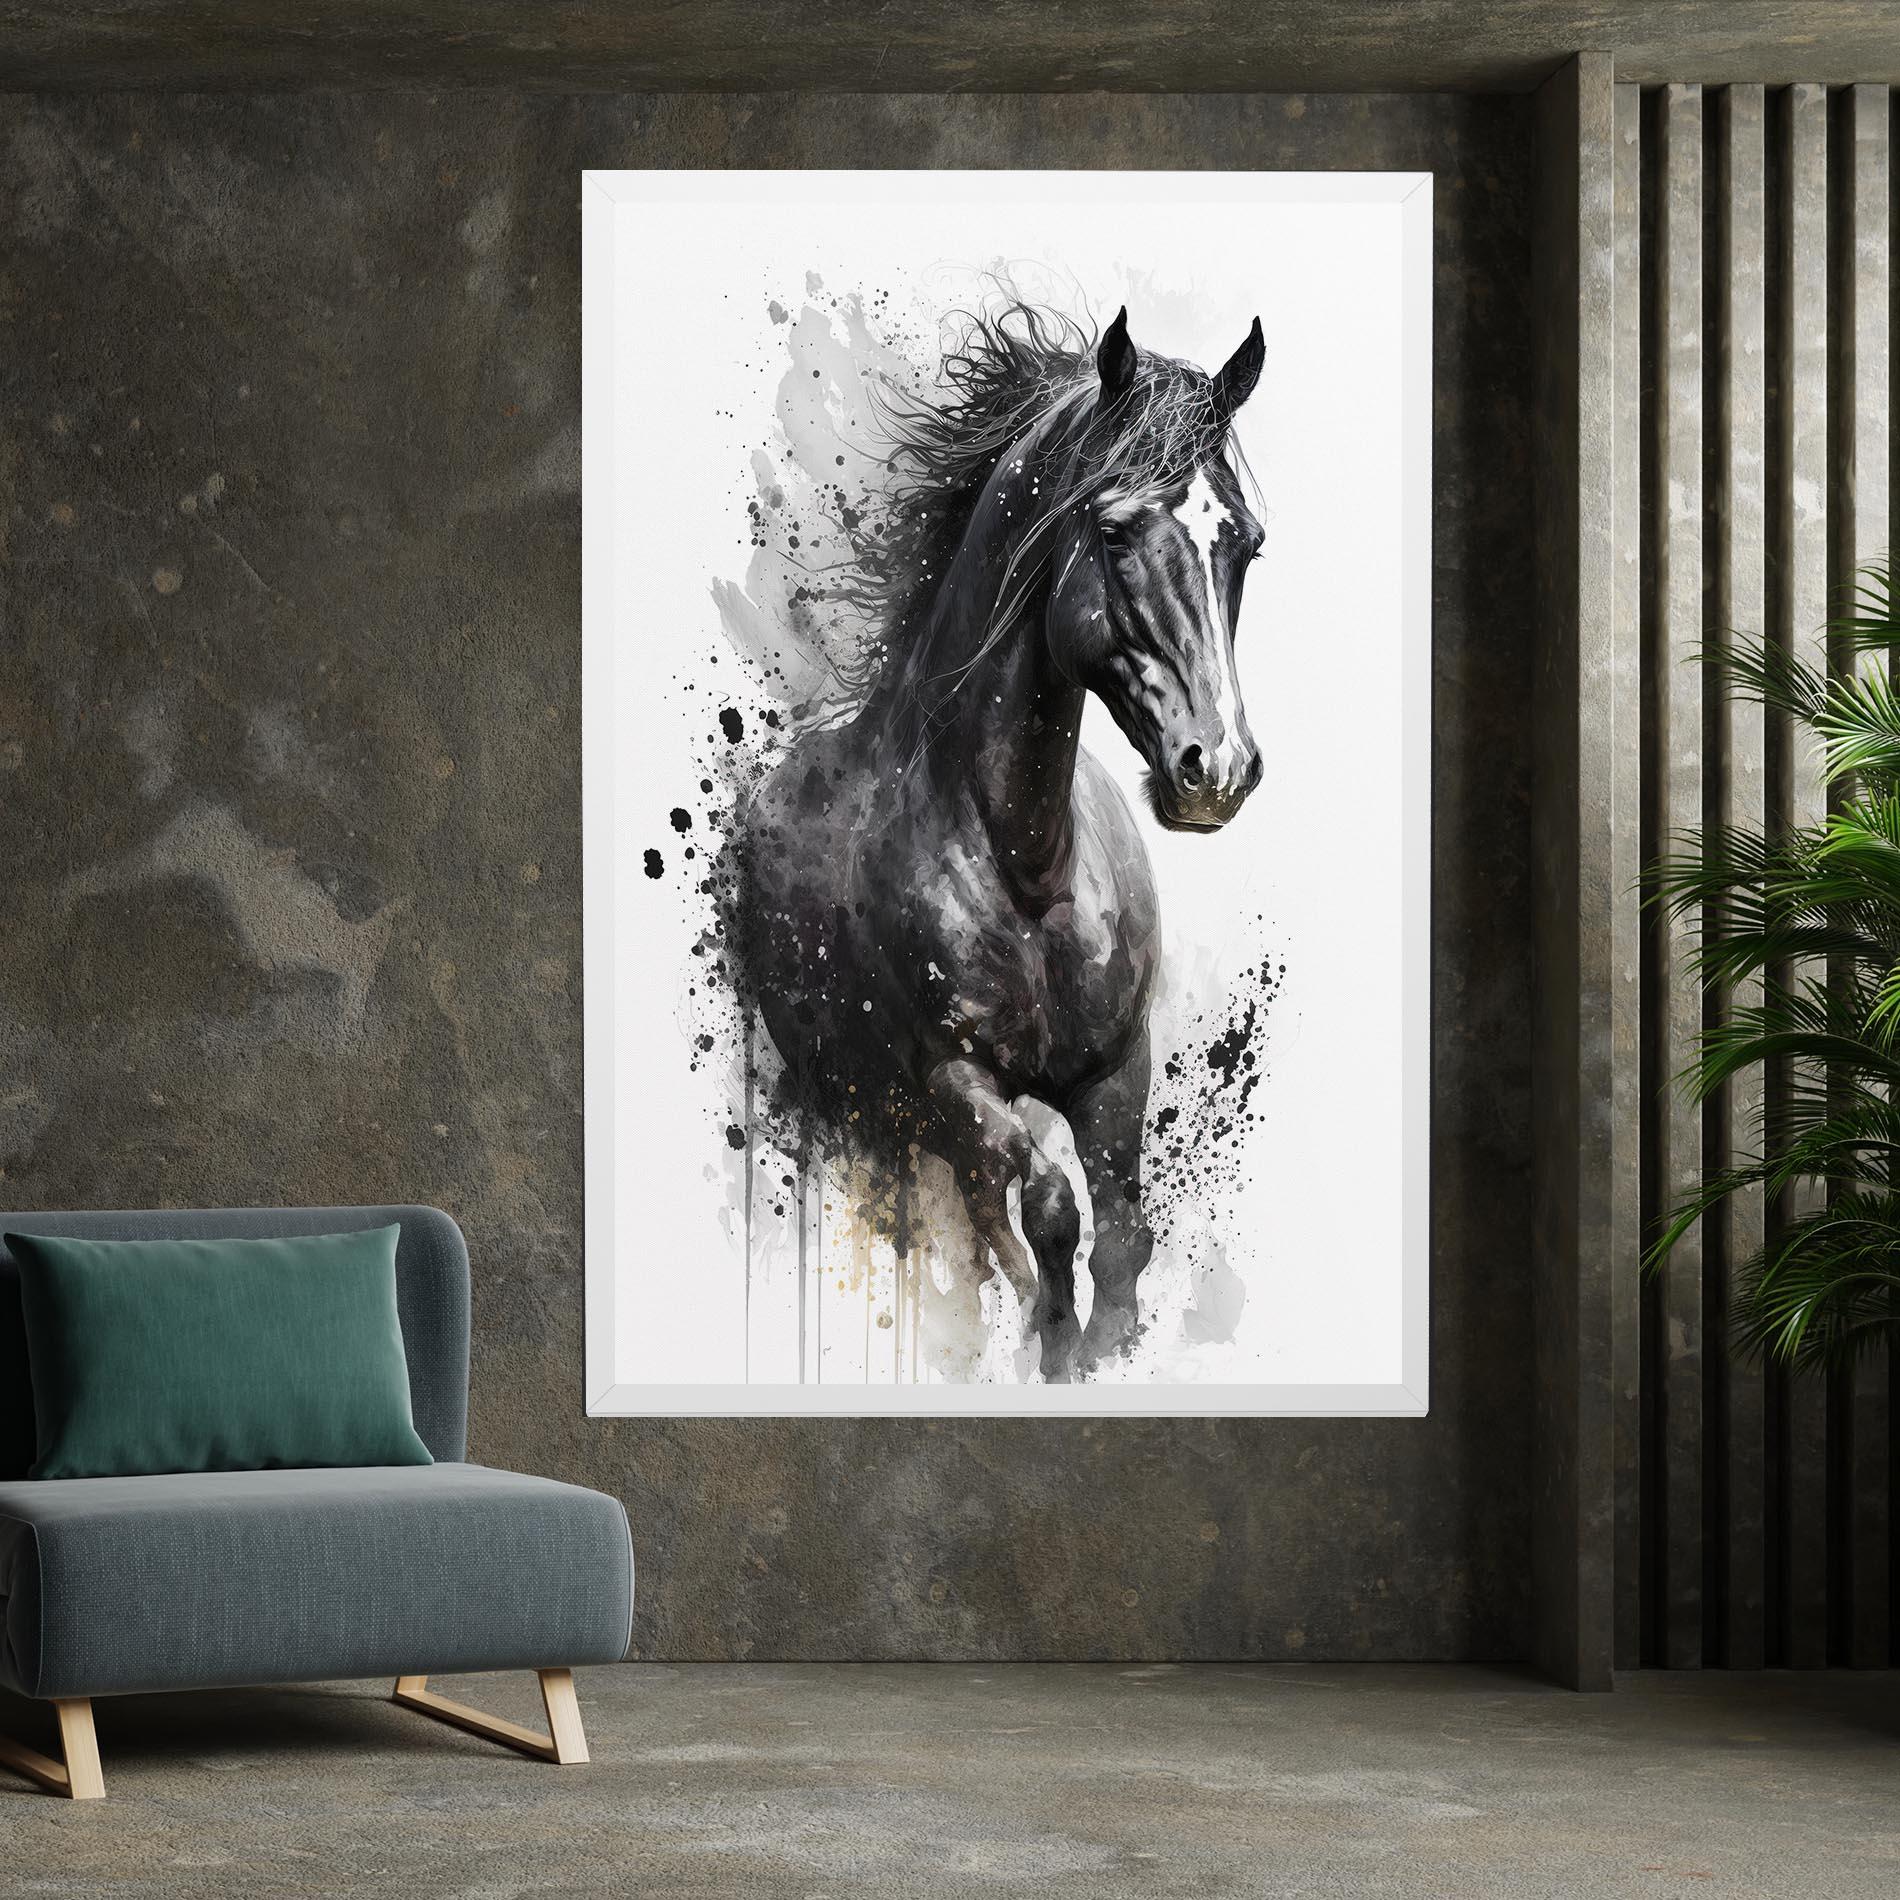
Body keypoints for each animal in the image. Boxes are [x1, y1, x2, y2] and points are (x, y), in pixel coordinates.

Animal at [738, 302, 1266, 1380]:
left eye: (1247, 544)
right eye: (1113, 529)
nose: (1218, 770)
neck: (1027, 867)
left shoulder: (1116, 1072)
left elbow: (1123, 1240)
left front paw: (1102, 1349)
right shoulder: (954, 1080)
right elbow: (1055, 1210)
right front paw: (1053, 1351)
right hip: (858, 1106)